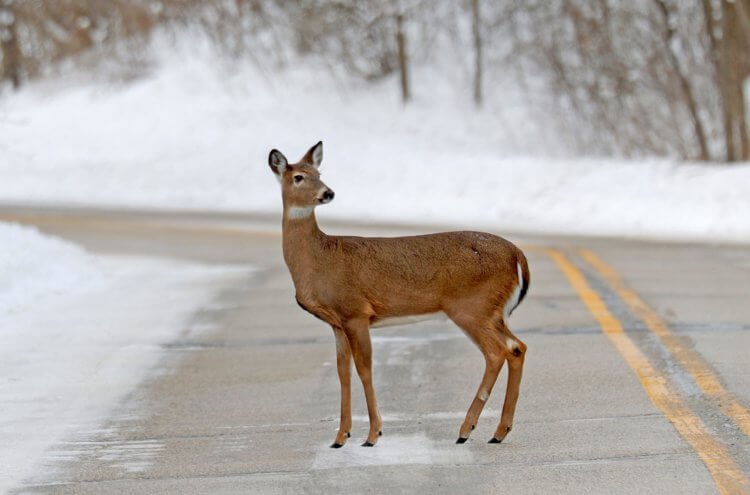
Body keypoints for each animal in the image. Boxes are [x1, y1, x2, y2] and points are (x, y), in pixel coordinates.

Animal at [268, 141, 532, 448]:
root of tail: (518, 255)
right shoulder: (337, 322)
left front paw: (373, 435)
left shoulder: (356, 312)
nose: (328, 192)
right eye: (299, 176)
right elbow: (343, 372)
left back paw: (466, 430)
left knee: (497, 352)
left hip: (471, 308)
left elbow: (365, 369)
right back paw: (499, 431)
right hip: (493, 312)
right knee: (517, 347)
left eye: (319, 173)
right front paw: (340, 437)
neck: (318, 260)